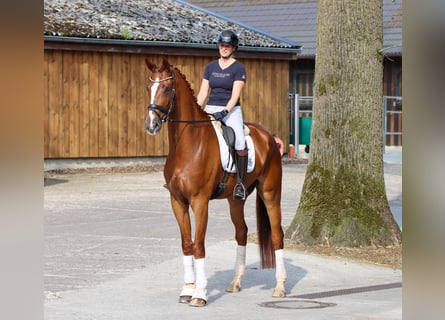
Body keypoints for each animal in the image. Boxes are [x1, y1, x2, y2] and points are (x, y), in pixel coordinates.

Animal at [144, 58, 286, 306]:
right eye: (148, 87)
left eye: (167, 88)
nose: (151, 125)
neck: (188, 143)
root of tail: (269, 136)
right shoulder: (177, 202)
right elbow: (187, 245)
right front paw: (187, 289)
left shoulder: (200, 202)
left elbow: (199, 245)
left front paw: (199, 294)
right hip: (235, 200)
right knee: (241, 232)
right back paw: (235, 282)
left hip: (270, 193)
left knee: (277, 234)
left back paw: (279, 287)